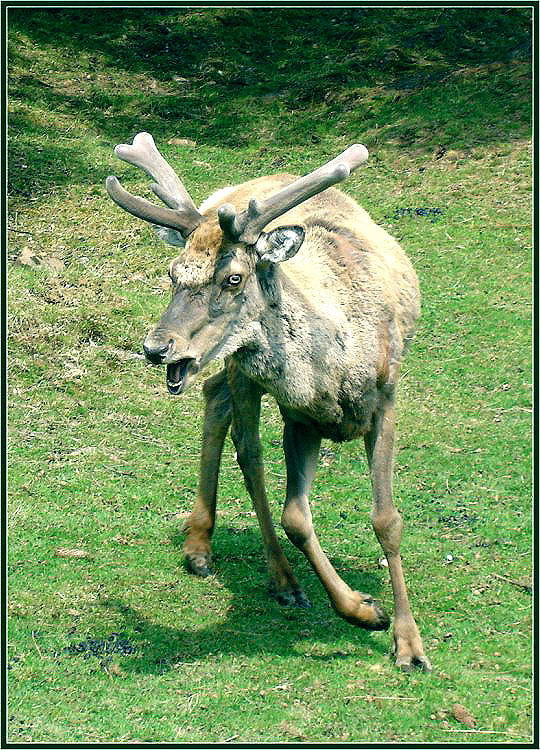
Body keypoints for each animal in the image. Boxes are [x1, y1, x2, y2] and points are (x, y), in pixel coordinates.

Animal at [106, 132, 431, 671]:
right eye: (172, 274)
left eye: (233, 278)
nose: (157, 348)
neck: (333, 367)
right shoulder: (299, 415)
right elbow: (295, 517)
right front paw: (365, 611)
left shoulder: (385, 398)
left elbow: (387, 520)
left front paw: (410, 645)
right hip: (242, 371)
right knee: (245, 445)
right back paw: (260, 569)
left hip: (236, 365)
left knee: (215, 397)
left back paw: (208, 545)